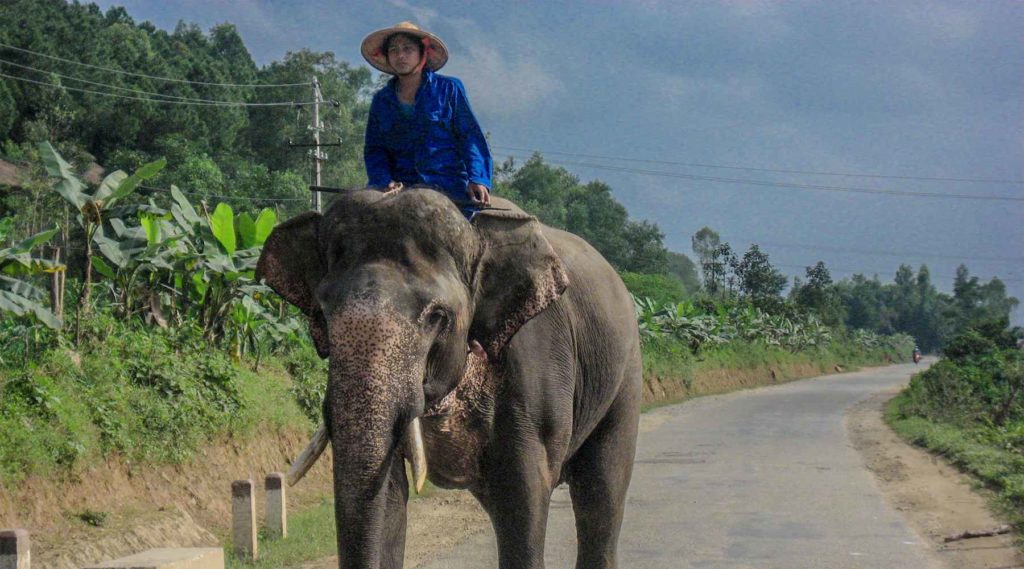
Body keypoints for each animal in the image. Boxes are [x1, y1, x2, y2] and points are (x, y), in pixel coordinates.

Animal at [256, 188, 638, 569]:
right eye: (321, 314)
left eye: (436, 316)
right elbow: (388, 495)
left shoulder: (533, 367)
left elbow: (524, 494)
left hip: (624, 378)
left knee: (601, 497)